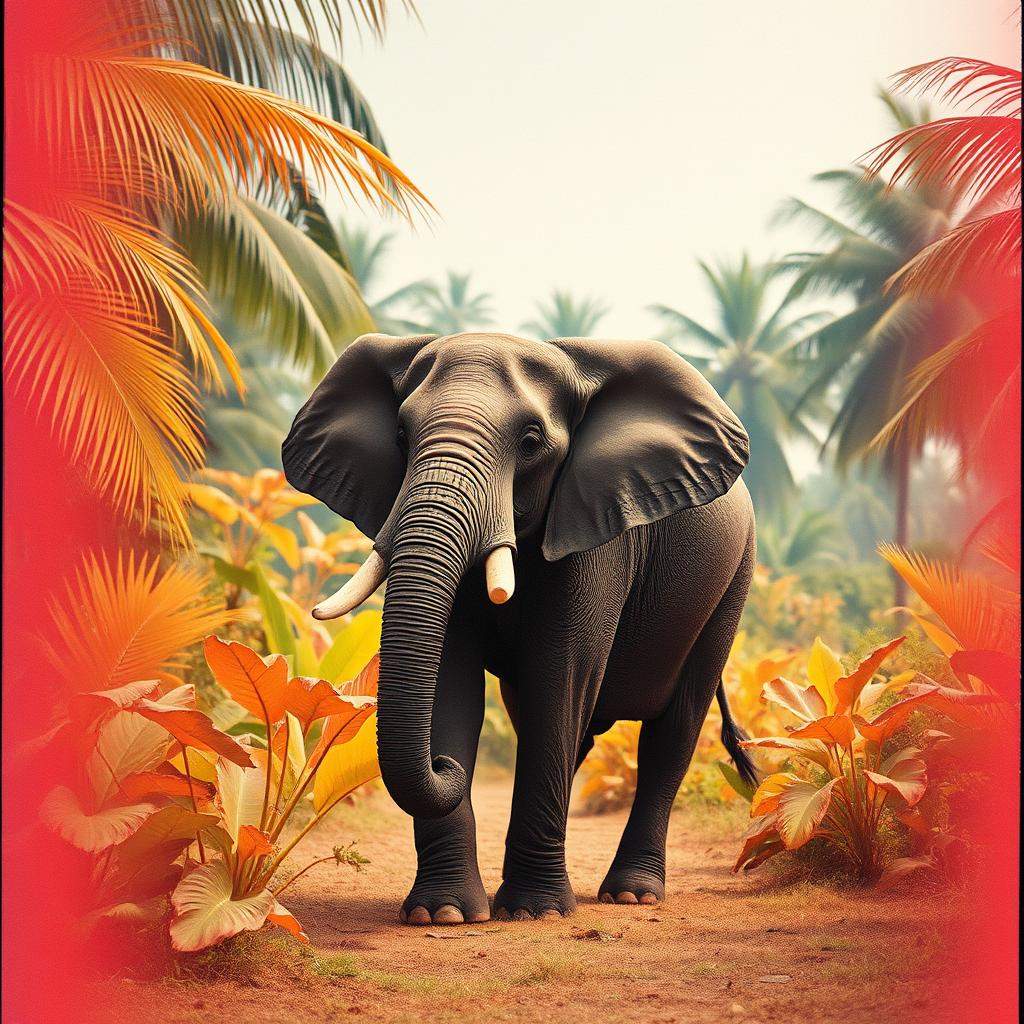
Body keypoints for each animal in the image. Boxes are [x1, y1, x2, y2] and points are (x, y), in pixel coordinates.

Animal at [282, 331, 758, 925]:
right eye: (401, 435)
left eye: (531, 441)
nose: (443, 763)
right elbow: (452, 682)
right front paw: (444, 914)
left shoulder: (596, 532)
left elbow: (558, 679)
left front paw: (538, 913)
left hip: (734, 581)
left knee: (672, 731)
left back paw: (632, 895)